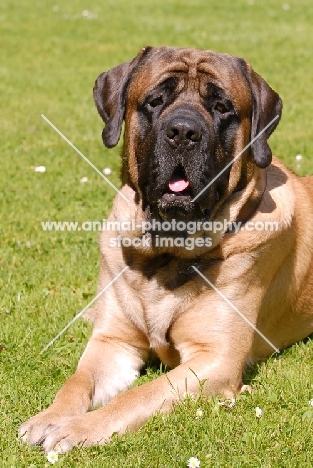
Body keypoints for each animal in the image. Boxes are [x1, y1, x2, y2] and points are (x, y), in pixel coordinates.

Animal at [19, 45, 312, 452]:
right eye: (155, 101)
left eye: (222, 107)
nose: (184, 132)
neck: (164, 254)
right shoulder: (114, 341)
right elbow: (77, 381)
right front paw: (48, 418)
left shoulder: (215, 360)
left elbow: (137, 396)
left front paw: (76, 429)